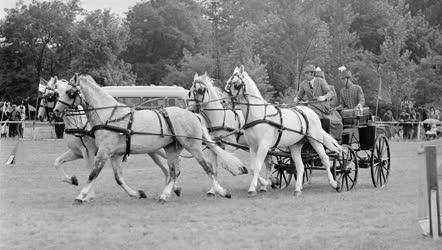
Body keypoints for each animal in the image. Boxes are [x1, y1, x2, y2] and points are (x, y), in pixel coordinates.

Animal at [51, 73, 245, 203]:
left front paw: (81, 195)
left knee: (207, 168)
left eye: (70, 92)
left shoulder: (103, 152)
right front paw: (137, 193)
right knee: (174, 171)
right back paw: (165, 194)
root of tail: (193, 115)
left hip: (193, 147)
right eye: (58, 93)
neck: (109, 116)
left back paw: (220, 191)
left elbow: (93, 174)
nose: (55, 111)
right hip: (171, 148)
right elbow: (118, 178)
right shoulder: (114, 154)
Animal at [224, 65, 342, 196]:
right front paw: (268, 182)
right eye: (228, 82)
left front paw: (258, 186)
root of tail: (310, 111)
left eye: (236, 84)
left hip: (316, 141)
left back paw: (335, 184)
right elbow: (253, 168)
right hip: (295, 146)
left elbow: (258, 166)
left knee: (325, 159)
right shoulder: (253, 146)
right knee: (300, 166)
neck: (259, 115)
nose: (223, 101)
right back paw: (297, 189)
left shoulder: (264, 145)